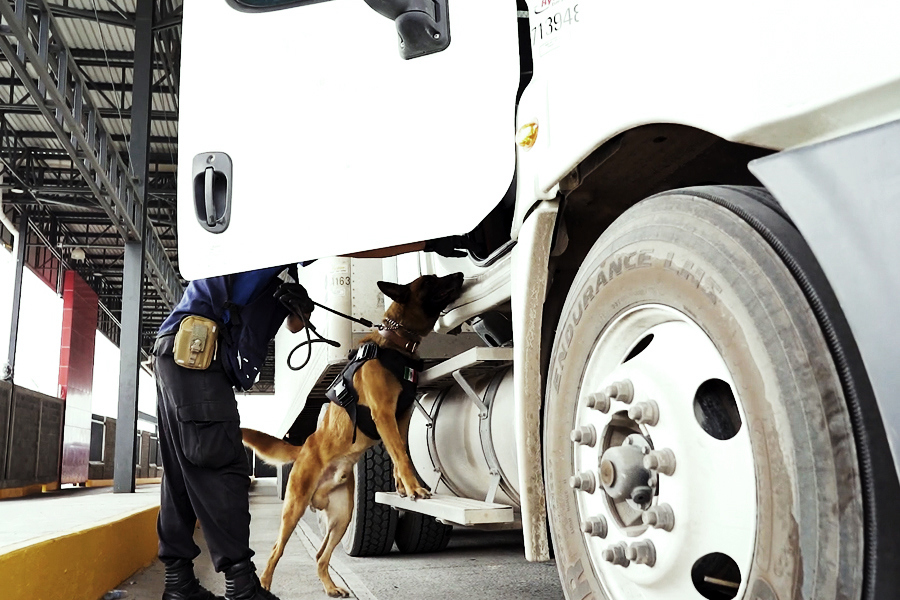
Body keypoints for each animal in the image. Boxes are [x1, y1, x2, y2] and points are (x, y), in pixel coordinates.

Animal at [239, 274, 464, 596]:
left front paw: (401, 486)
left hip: (342, 517)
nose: (459, 275)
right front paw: (413, 487)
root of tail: (304, 446)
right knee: (275, 550)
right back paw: (266, 584)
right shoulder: (384, 414)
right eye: (431, 281)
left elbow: (401, 453)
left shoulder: (401, 416)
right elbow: (400, 453)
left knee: (321, 556)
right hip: (294, 507)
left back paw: (331, 587)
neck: (395, 344)